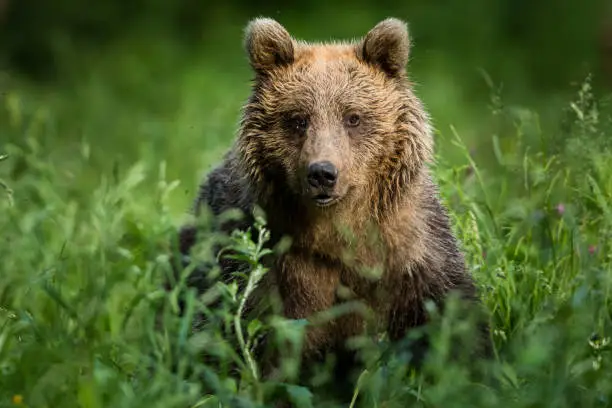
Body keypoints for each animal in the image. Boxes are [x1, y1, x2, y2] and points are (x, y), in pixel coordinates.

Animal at [173, 15, 492, 402]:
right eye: (297, 118)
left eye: (353, 117)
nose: (322, 173)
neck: (335, 229)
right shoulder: (254, 256)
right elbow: (232, 332)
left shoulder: (410, 248)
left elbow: (448, 319)